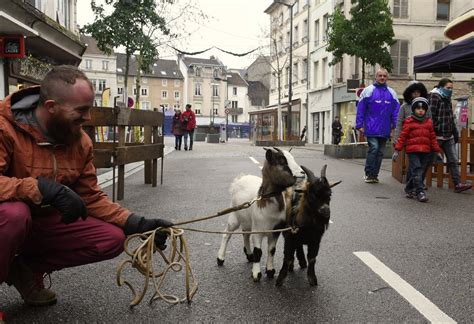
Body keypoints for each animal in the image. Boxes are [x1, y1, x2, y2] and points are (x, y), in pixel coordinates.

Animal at [216, 147, 304, 280]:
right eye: (282, 160)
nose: (302, 174)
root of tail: (240, 178)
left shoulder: (275, 231)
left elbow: (271, 250)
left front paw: (270, 271)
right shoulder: (258, 231)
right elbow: (259, 252)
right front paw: (256, 274)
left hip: (247, 221)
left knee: (245, 234)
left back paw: (249, 255)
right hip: (234, 215)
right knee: (227, 234)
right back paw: (220, 258)